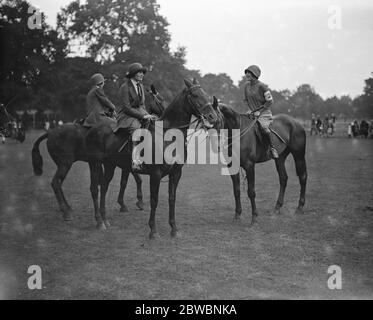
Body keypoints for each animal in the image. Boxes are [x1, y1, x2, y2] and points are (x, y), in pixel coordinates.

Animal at [30, 84, 166, 220]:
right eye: (160, 100)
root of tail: (50, 132)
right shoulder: (127, 164)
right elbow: (132, 180)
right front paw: (136, 202)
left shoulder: (125, 165)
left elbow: (128, 181)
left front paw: (126, 203)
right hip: (65, 164)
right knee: (56, 183)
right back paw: (65, 211)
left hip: (65, 165)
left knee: (58, 184)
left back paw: (67, 207)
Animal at [84, 78, 218, 236]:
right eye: (195, 95)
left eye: (205, 93)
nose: (213, 117)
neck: (168, 136)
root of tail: (93, 128)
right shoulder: (155, 174)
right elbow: (154, 200)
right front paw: (153, 230)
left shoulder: (176, 173)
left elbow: (172, 198)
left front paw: (173, 228)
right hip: (95, 164)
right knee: (95, 189)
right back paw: (99, 221)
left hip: (110, 165)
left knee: (104, 187)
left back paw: (104, 219)